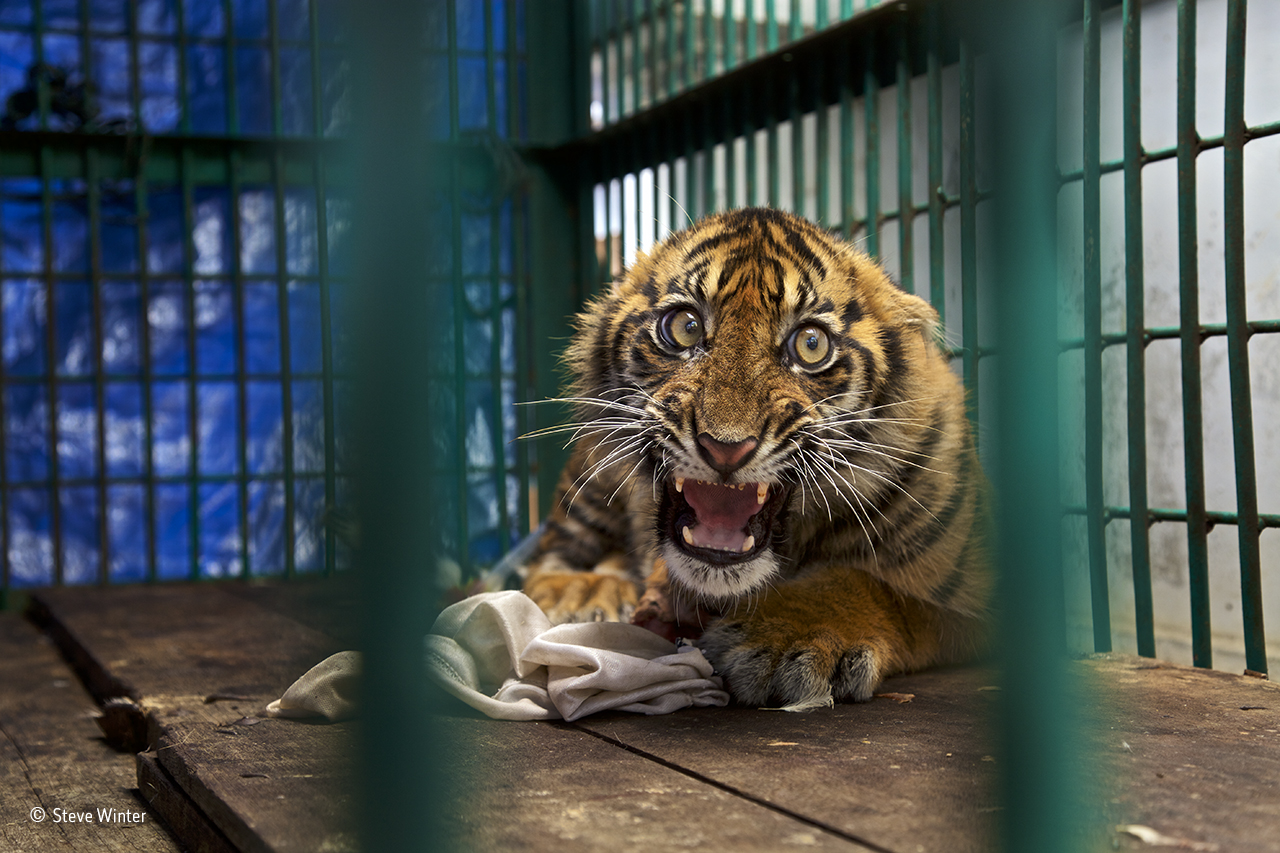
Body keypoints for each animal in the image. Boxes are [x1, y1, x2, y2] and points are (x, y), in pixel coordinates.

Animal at [517, 207, 988, 712]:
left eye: (811, 344)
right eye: (684, 327)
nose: (726, 446)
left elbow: (888, 592)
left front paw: (788, 637)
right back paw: (582, 590)